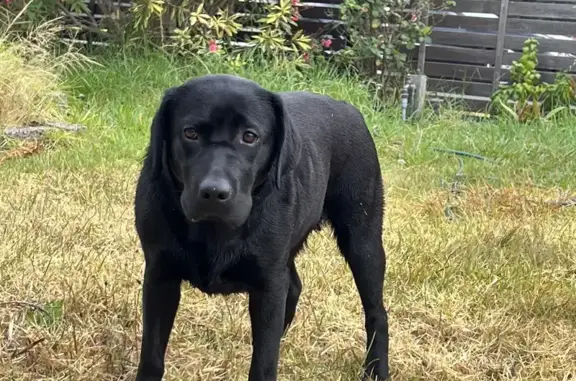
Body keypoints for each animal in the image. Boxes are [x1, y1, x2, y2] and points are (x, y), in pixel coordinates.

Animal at [133, 74, 390, 380]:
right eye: (190, 133)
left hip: (363, 242)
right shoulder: (160, 277)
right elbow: (152, 357)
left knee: (377, 312)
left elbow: (264, 363)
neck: (214, 232)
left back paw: (377, 369)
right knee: (294, 286)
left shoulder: (268, 287)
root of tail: (347, 107)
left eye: (249, 136)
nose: (214, 193)